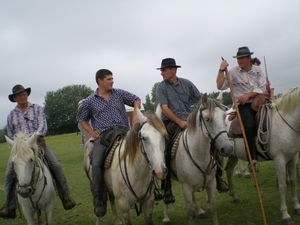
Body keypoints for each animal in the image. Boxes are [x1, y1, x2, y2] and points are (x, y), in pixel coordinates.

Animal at [163, 94, 233, 225]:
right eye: (207, 119)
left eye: (224, 116)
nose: (227, 148)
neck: (198, 155)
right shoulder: (186, 187)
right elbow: (190, 214)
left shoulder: (211, 184)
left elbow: (213, 208)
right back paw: (166, 216)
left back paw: (200, 211)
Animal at [225, 85, 300, 225]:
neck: (286, 122)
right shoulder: (279, 159)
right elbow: (282, 186)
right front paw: (285, 215)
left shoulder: (293, 157)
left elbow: (293, 180)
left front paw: (297, 206)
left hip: (232, 155)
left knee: (228, 171)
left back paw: (235, 197)